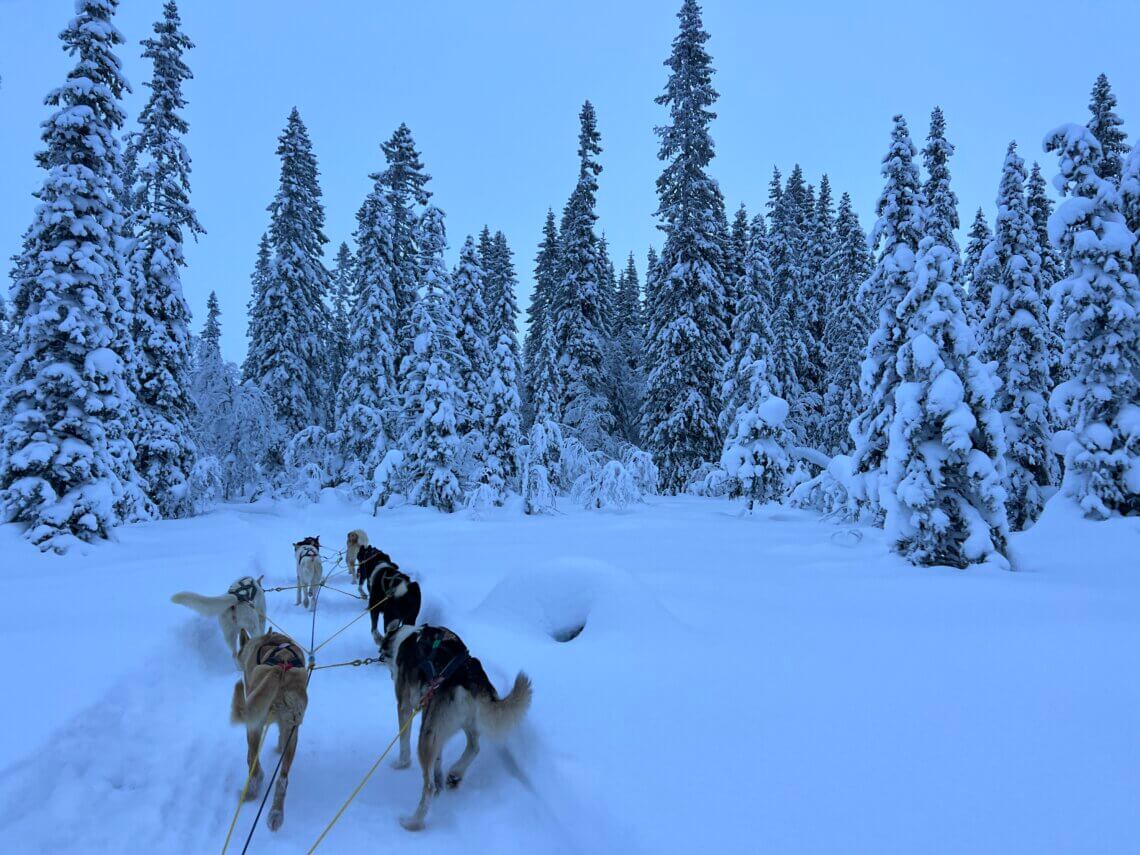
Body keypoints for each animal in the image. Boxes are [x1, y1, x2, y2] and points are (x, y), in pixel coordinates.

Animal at [229, 633, 310, 834]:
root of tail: (279, 670)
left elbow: (251, 757)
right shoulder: (287, 728)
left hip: (253, 726)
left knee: (254, 765)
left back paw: (251, 790)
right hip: (292, 732)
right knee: (282, 780)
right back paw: (276, 814)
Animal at [378, 624, 528, 834]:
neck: (406, 637)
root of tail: (470, 677)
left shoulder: (405, 707)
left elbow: (404, 741)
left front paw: (401, 764)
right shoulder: (435, 729)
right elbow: (439, 757)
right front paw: (440, 774)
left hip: (427, 734)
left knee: (429, 787)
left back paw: (413, 822)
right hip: (458, 724)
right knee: (474, 747)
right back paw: (455, 774)